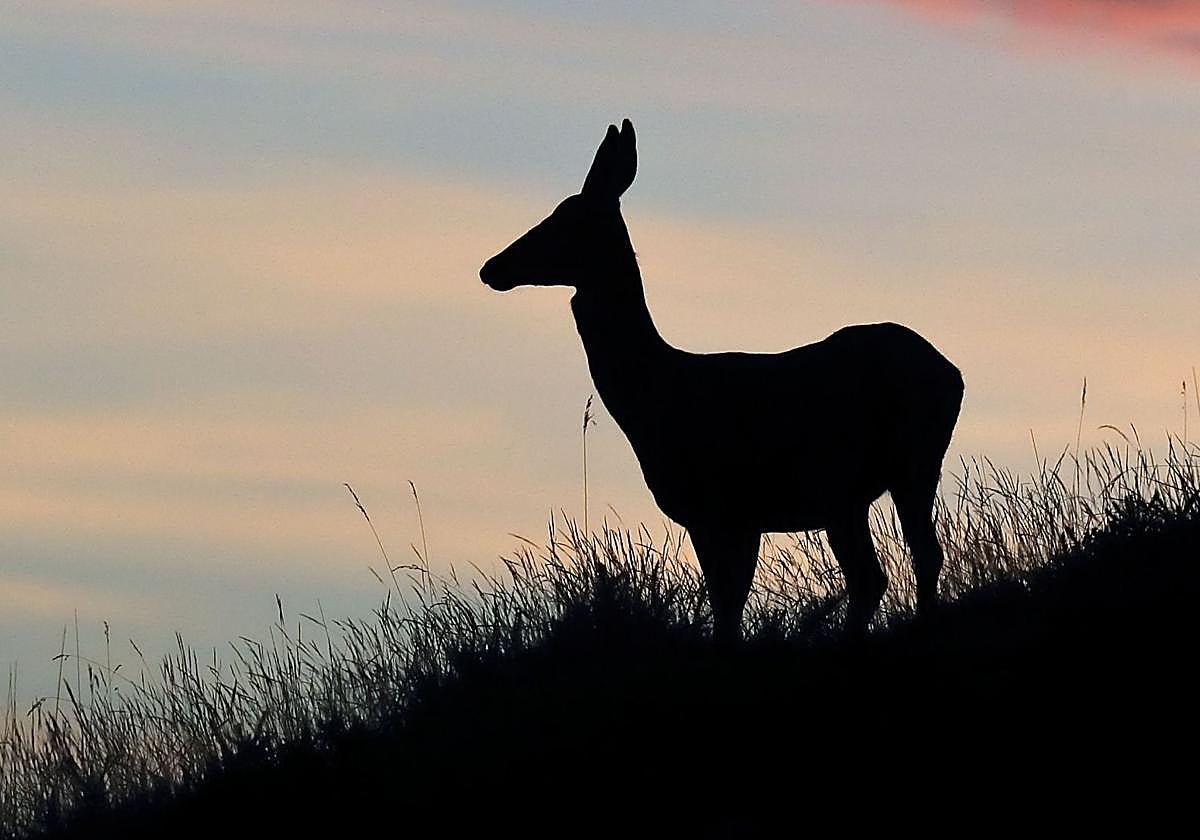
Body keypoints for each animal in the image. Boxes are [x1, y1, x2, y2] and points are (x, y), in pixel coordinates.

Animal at [481, 119, 963, 643]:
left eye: (565, 219)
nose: (491, 267)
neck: (655, 396)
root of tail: (953, 374)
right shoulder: (735, 517)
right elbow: (730, 604)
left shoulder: (717, 508)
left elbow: (726, 605)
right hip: (890, 475)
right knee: (911, 560)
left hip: (861, 472)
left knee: (880, 573)